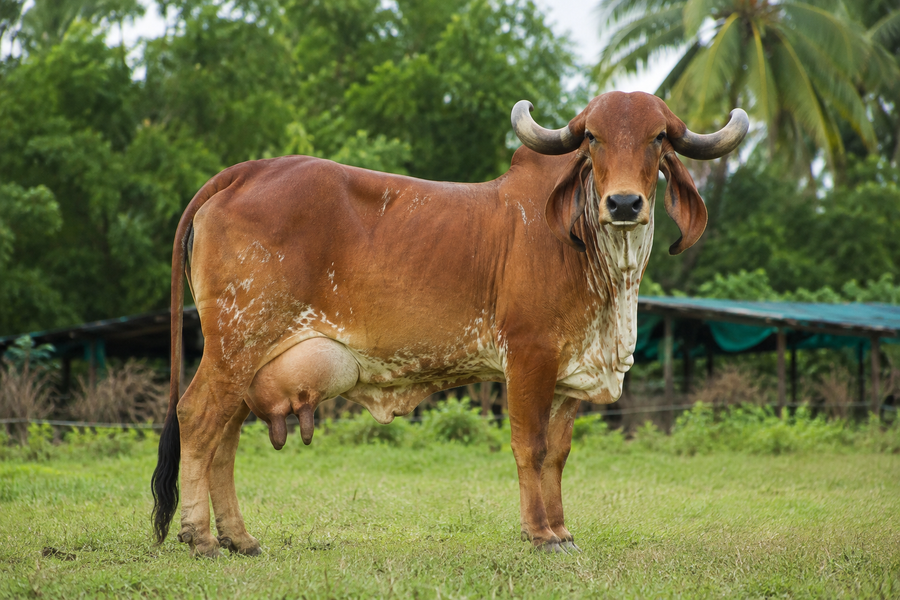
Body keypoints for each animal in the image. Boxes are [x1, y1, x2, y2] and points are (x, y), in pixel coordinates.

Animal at [151, 91, 748, 557]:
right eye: (594, 140)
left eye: (658, 139)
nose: (624, 203)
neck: (597, 258)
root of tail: (246, 171)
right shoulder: (529, 357)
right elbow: (530, 446)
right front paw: (539, 535)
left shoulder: (569, 371)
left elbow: (557, 454)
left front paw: (561, 531)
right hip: (236, 342)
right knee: (197, 419)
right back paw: (201, 538)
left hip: (248, 356)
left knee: (225, 435)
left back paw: (239, 538)